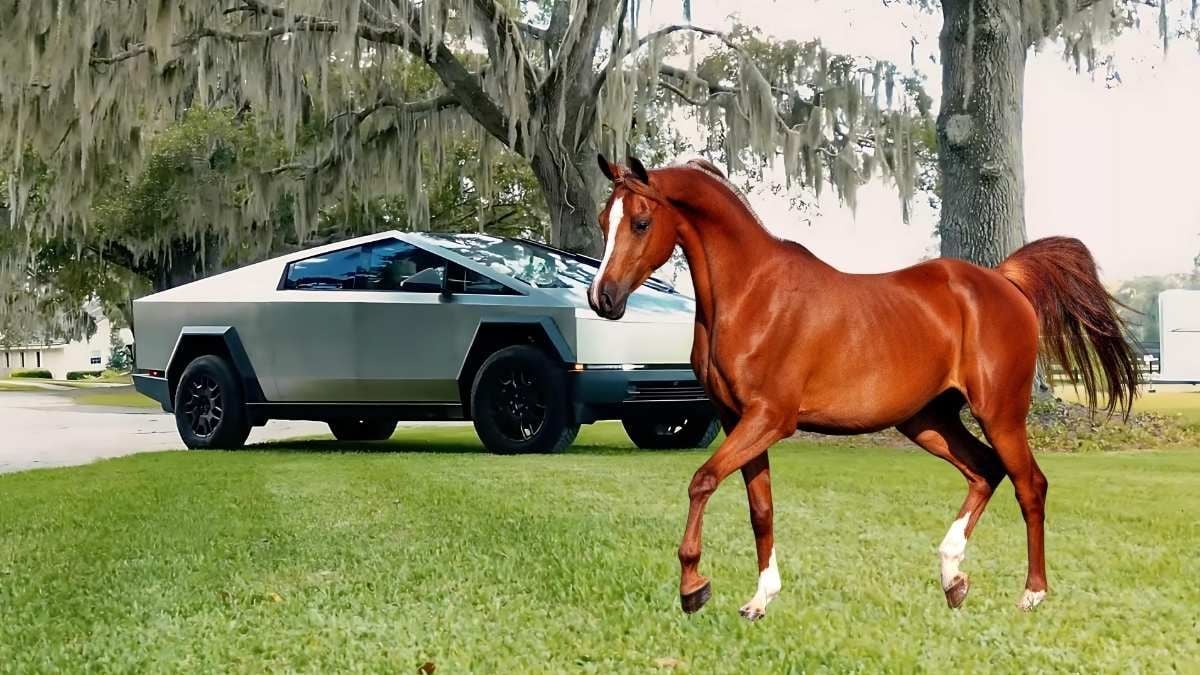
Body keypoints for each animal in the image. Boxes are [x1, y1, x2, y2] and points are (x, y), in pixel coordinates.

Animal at [595, 154, 1137, 619]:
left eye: (640, 222)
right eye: (604, 221)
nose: (603, 299)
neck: (753, 293)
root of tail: (1004, 280)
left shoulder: (770, 418)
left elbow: (702, 480)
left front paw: (693, 587)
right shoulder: (738, 420)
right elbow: (760, 508)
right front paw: (759, 600)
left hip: (1000, 413)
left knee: (1030, 485)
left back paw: (1032, 594)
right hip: (928, 420)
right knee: (985, 471)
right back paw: (952, 579)